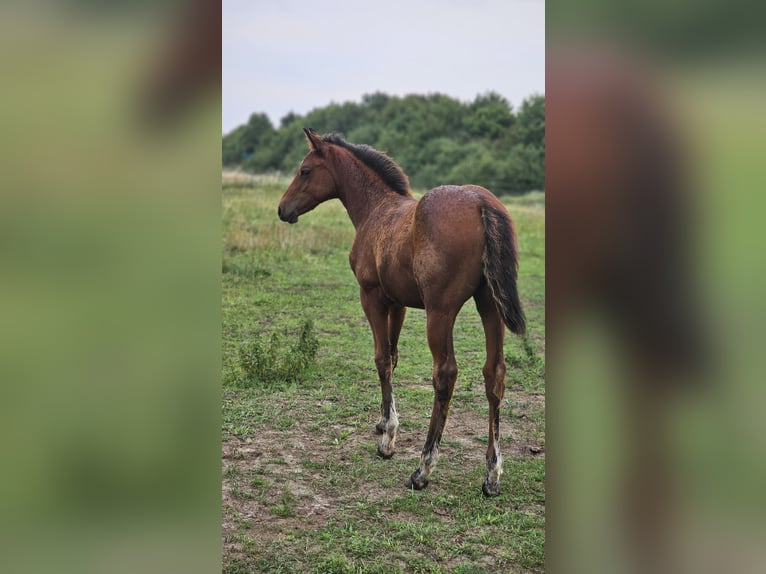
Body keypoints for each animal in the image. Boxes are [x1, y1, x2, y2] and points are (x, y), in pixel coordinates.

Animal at [278, 128, 525, 496]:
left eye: (305, 170)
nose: (283, 209)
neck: (376, 210)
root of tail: (482, 202)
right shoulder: (398, 303)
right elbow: (393, 357)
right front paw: (383, 422)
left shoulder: (372, 296)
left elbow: (381, 358)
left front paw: (388, 440)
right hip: (490, 305)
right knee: (494, 373)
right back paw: (492, 474)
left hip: (440, 311)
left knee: (445, 375)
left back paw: (423, 469)